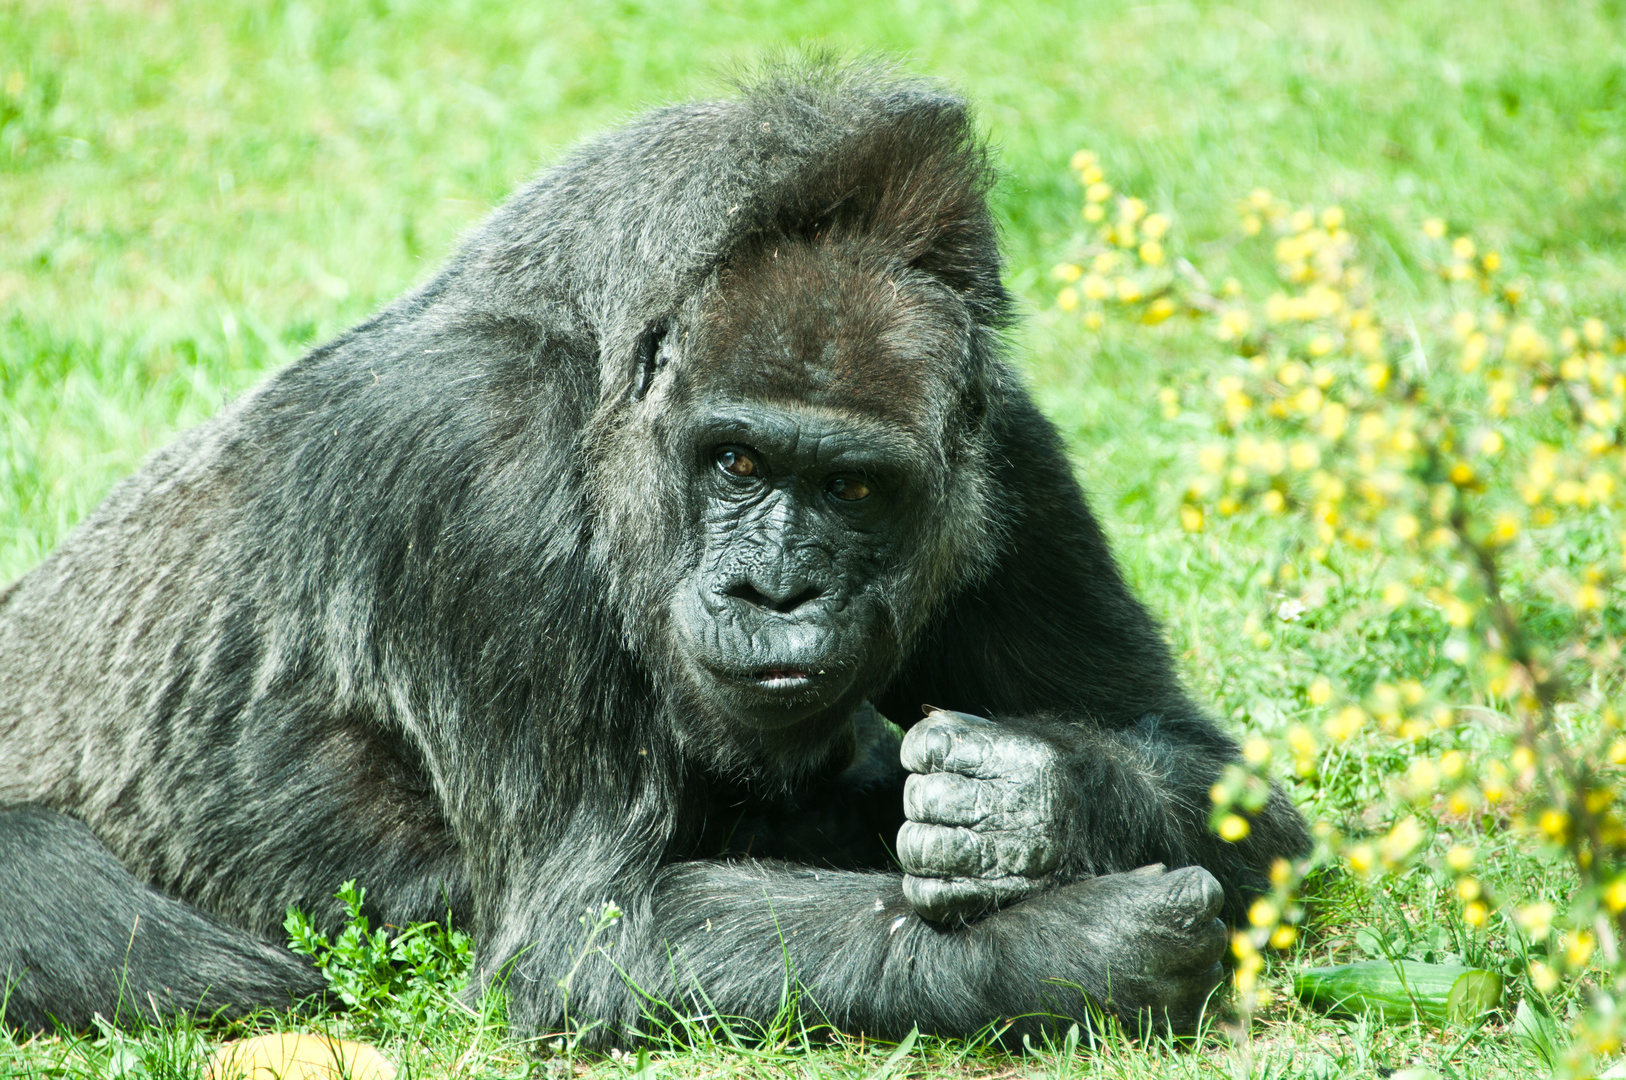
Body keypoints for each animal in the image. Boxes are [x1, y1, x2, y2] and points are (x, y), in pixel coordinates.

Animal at [0, 69, 1307, 1047]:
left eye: (854, 487)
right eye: (735, 463)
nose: (774, 592)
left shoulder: (1010, 452)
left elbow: (1220, 779)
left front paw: (1029, 802)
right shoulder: (471, 466)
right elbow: (584, 935)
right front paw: (1065, 946)